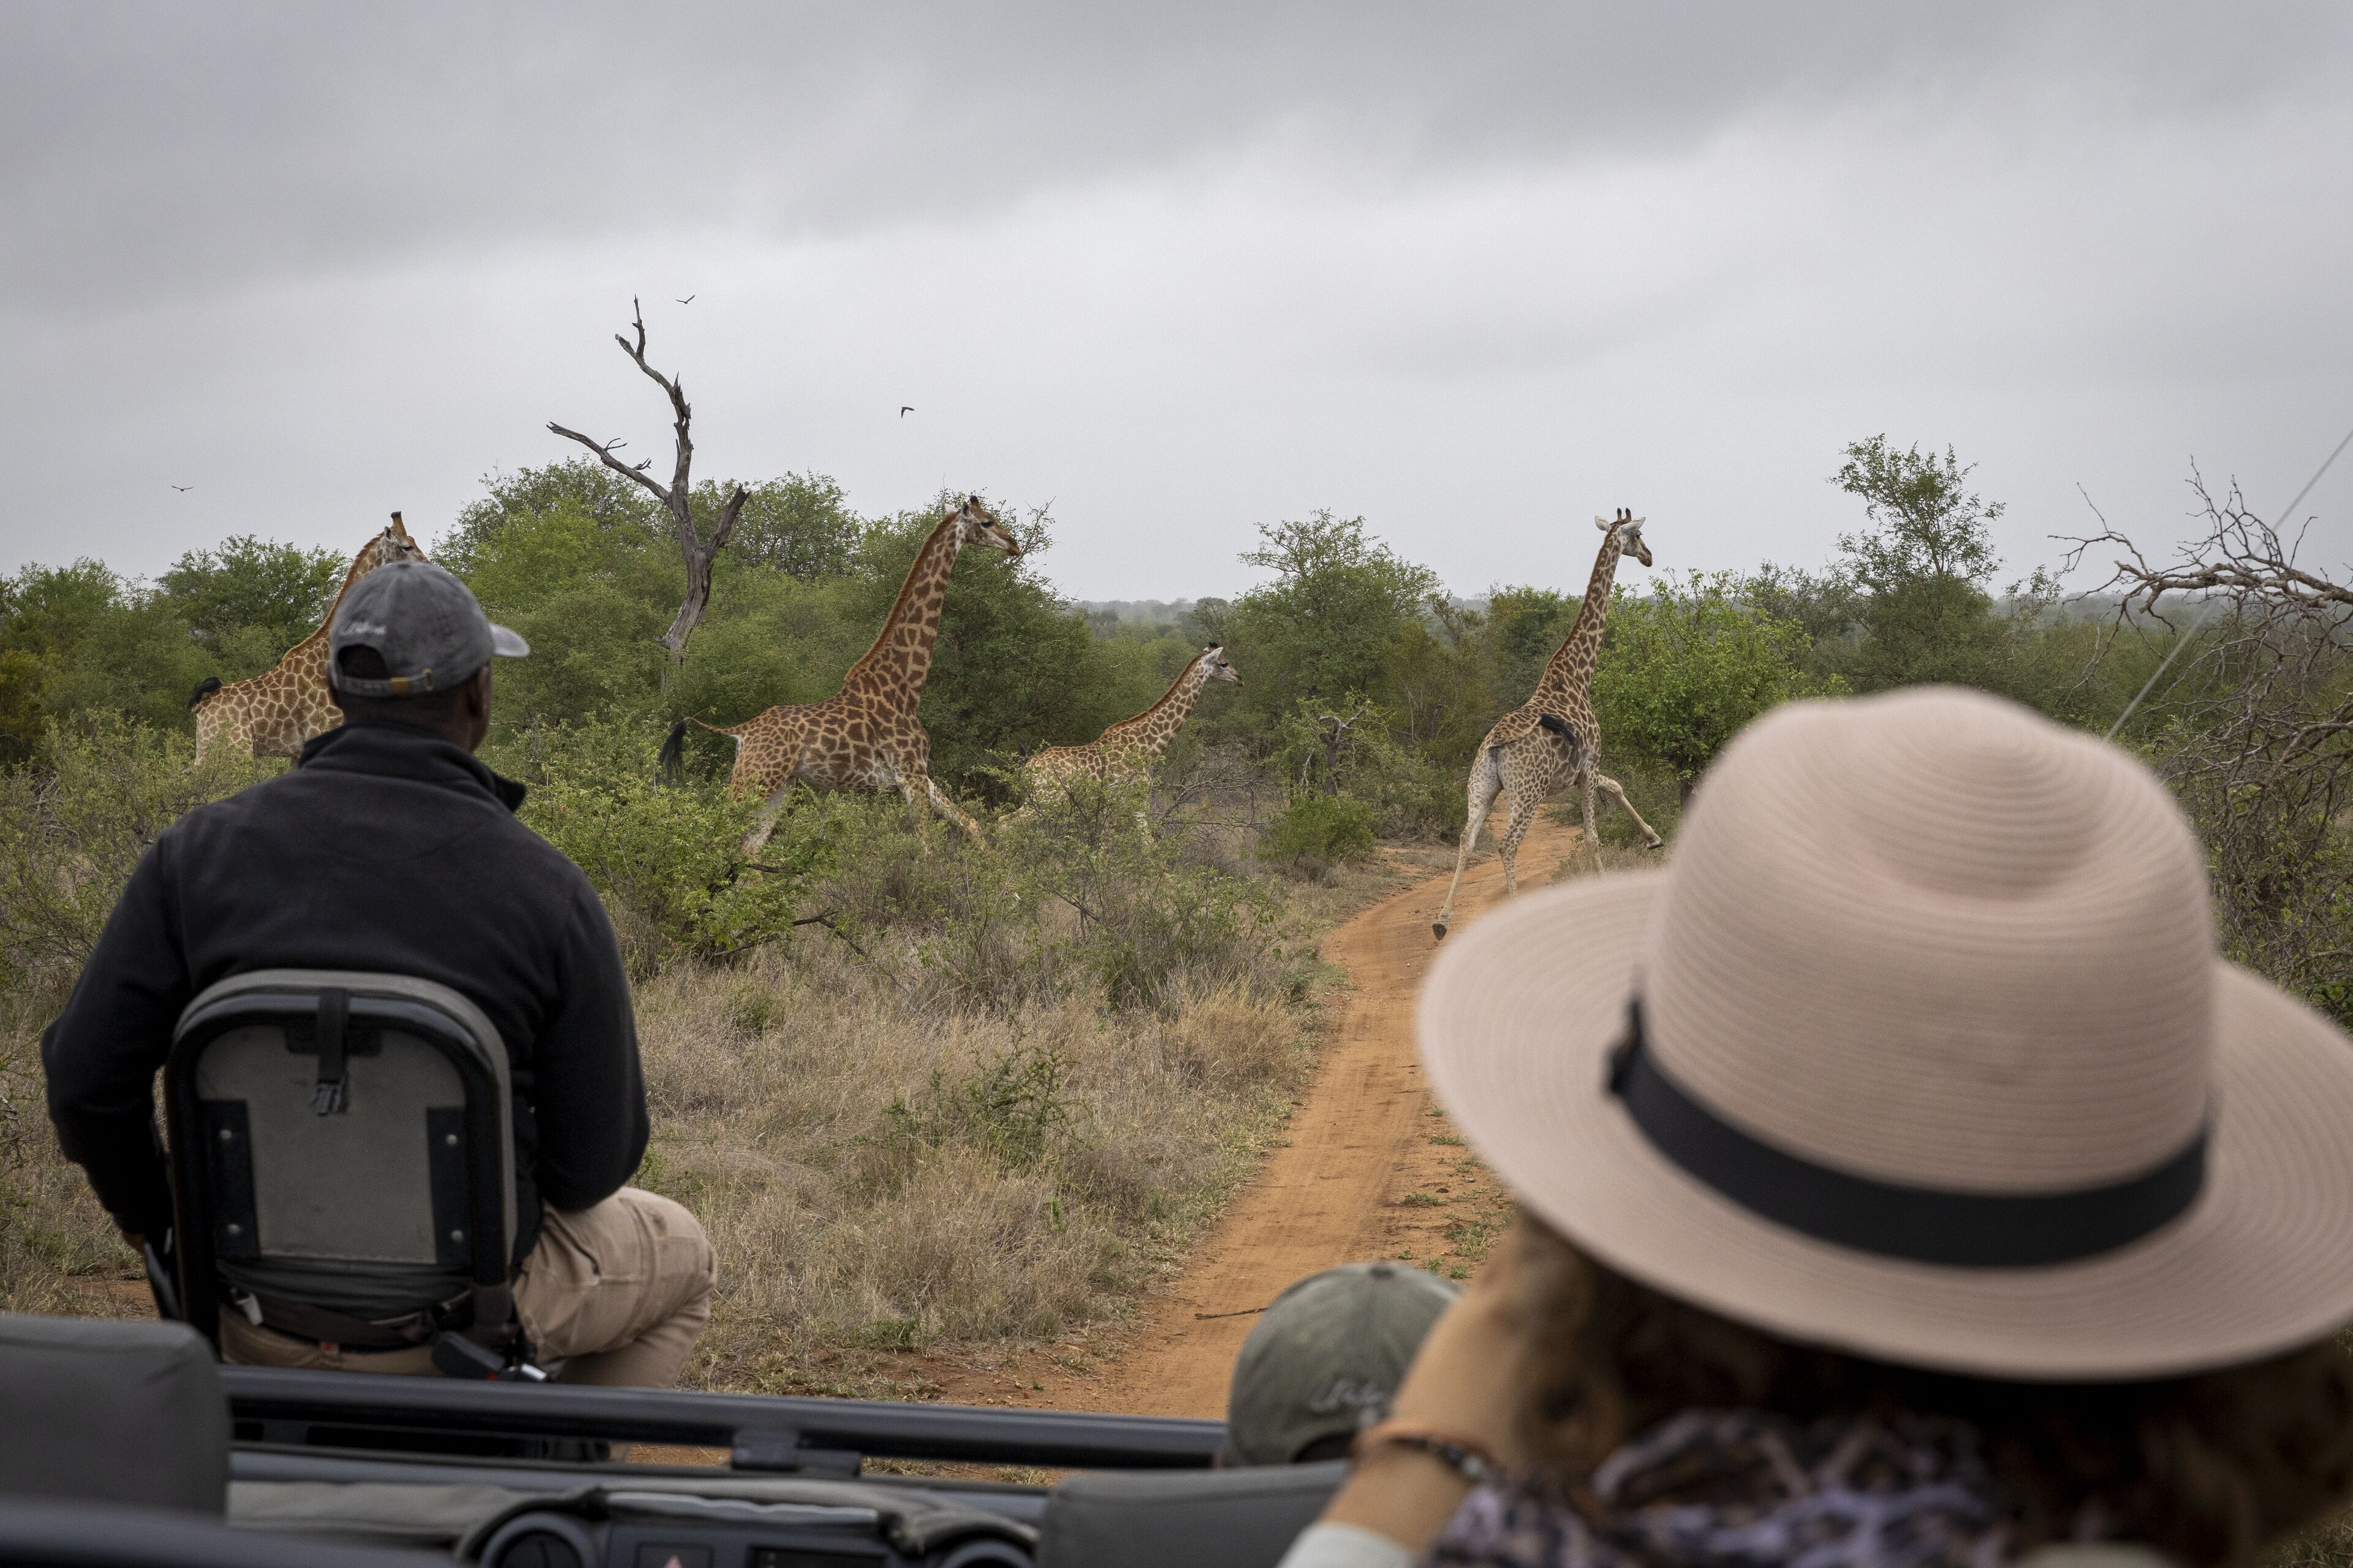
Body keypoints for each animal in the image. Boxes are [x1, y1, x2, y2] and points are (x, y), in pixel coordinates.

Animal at [188, 514, 427, 764]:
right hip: (233, 750)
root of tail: (201, 706)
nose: (430, 565)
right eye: (407, 546)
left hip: (206, 751)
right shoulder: (325, 731)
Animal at [660, 495, 1020, 853]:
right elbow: (928, 850)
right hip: (757, 777)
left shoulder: (921, 775)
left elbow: (973, 825)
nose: (1014, 545)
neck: (905, 687)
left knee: (746, 850)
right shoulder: (910, 774)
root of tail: (741, 731)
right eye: (986, 522)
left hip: (781, 786)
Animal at [1019, 645, 1241, 820]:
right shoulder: (1122, 800)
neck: (1148, 746)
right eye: (1224, 663)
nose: (1240, 679)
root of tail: (1027, 769)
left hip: (1039, 800)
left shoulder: (1138, 803)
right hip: (1047, 800)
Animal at [1430, 509, 1664, 941]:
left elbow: (1616, 786)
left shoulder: (1581, 771)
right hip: (1528, 792)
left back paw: (1441, 922)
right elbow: (1592, 837)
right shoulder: (1588, 767)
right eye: (1638, 535)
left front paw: (1654, 839)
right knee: (1507, 845)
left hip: (1482, 786)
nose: (1649, 557)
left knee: (1467, 837)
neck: (1578, 676)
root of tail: (1495, 748)